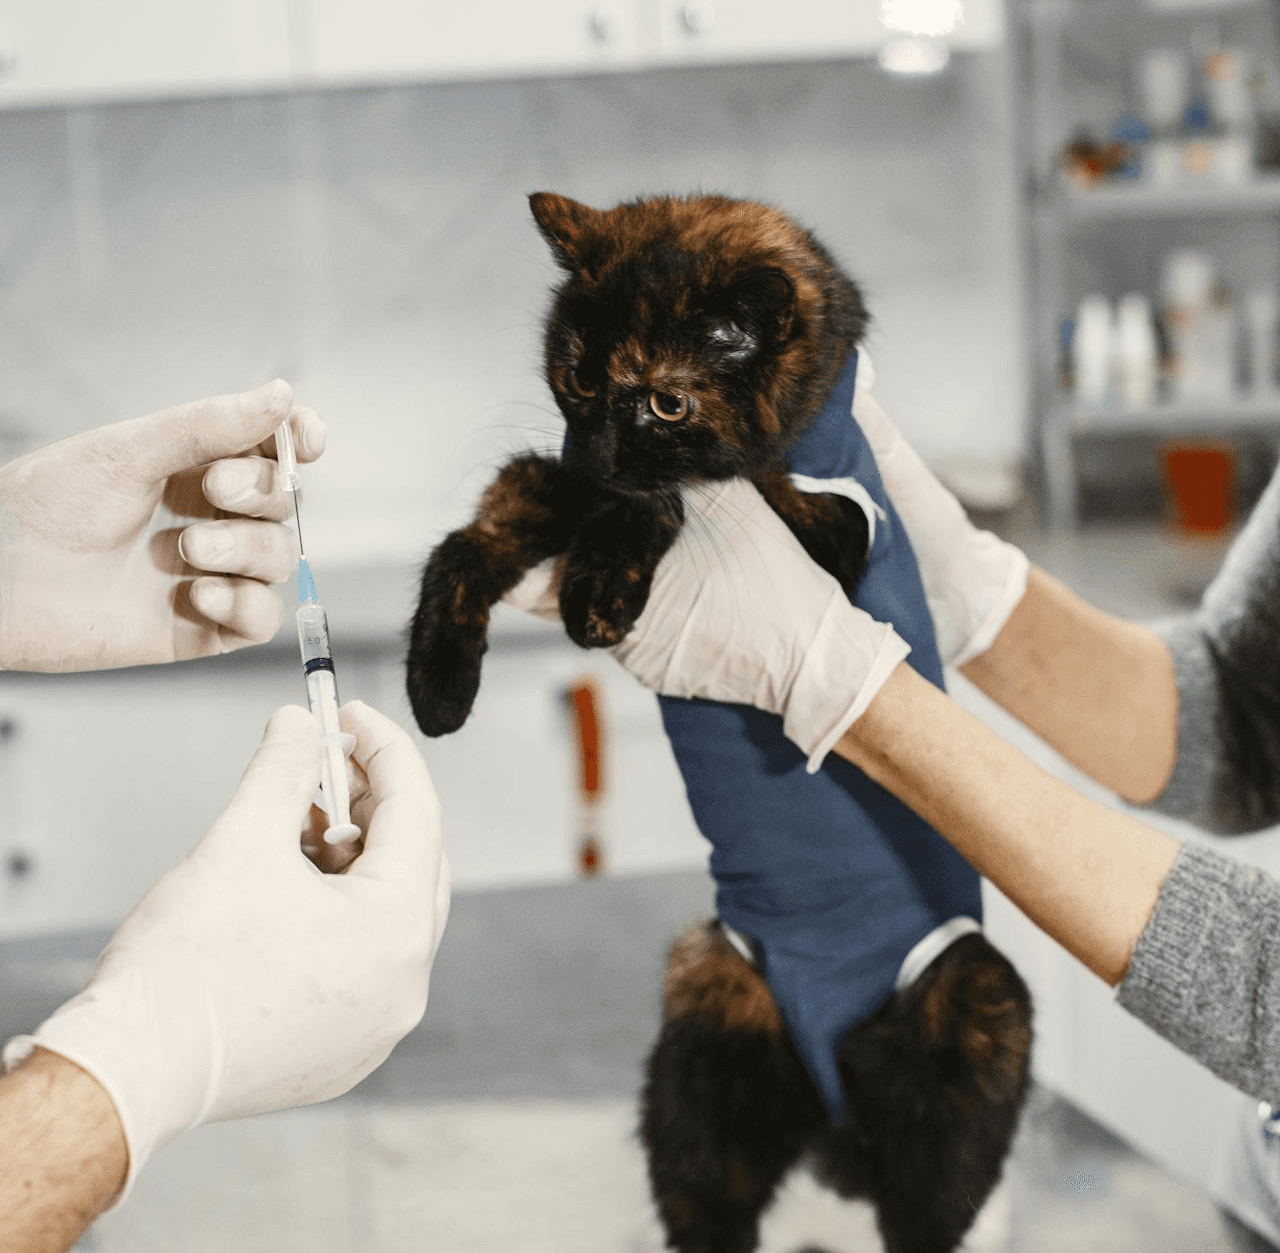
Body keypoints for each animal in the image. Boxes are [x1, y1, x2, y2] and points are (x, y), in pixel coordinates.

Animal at [404, 188, 1034, 1253]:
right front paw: (437, 684)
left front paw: (600, 584)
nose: (595, 450)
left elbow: (683, 499)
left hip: (976, 997)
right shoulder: (556, 479)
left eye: (667, 402)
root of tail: (830, 1105)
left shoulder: (833, 535)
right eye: (577, 373)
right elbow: (484, 523)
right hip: (701, 1013)